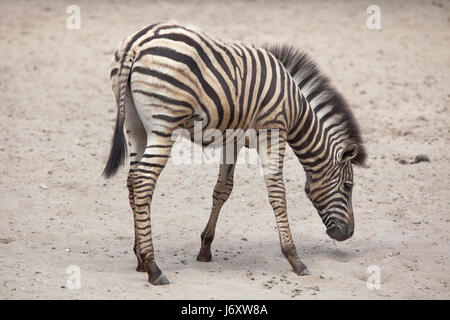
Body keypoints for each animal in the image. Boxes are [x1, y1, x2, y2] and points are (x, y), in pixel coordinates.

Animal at [104, 22, 366, 284]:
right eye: (348, 186)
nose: (349, 233)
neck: (296, 111)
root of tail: (136, 42)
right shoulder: (273, 132)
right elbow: (277, 193)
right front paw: (294, 258)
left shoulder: (234, 140)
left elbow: (223, 189)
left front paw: (205, 248)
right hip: (163, 125)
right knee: (143, 181)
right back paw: (153, 267)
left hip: (135, 125)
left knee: (132, 181)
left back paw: (140, 258)